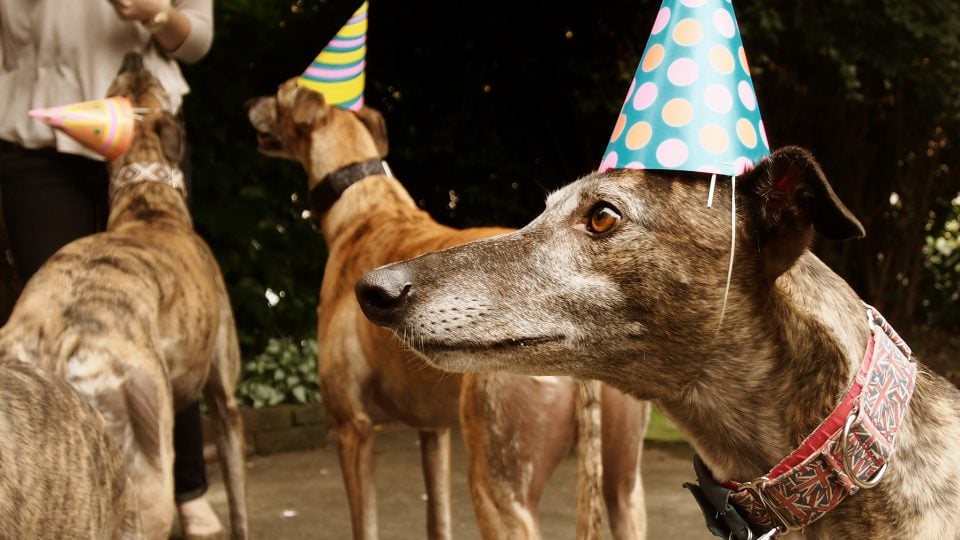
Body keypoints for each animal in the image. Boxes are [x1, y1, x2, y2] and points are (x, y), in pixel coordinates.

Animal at [246, 80, 652, 540]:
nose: (249, 103)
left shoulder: (352, 428)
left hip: (498, 487)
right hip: (625, 490)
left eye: (281, 93)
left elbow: (364, 523)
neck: (366, 209)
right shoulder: (433, 429)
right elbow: (437, 516)